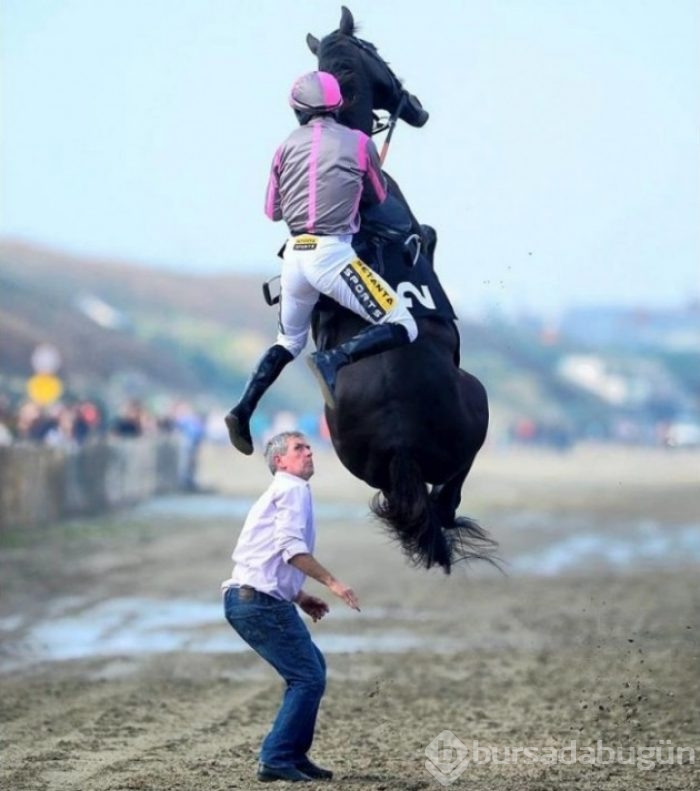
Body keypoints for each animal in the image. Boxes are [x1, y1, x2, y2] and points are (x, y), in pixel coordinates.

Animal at [304, 7, 494, 576]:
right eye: (379, 54)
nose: (417, 108)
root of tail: (400, 436)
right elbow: (428, 234)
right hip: (476, 408)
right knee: (449, 493)